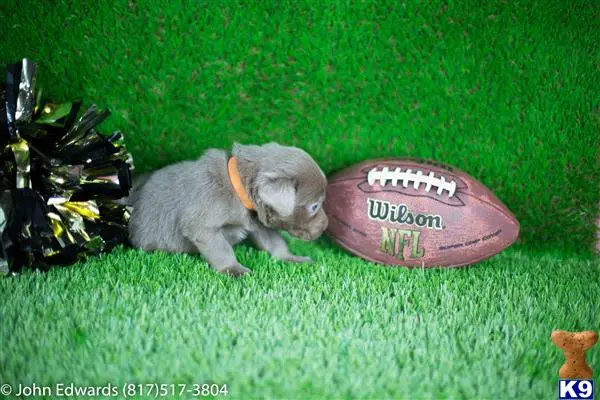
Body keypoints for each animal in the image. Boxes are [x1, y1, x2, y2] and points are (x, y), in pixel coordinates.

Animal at [127, 142, 330, 276]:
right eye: (314, 206)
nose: (326, 226)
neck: (236, 187)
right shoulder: (202, 226)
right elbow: (221, 249)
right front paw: (233, 269)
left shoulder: (256, 220)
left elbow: (274, 240)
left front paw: (290, 257)